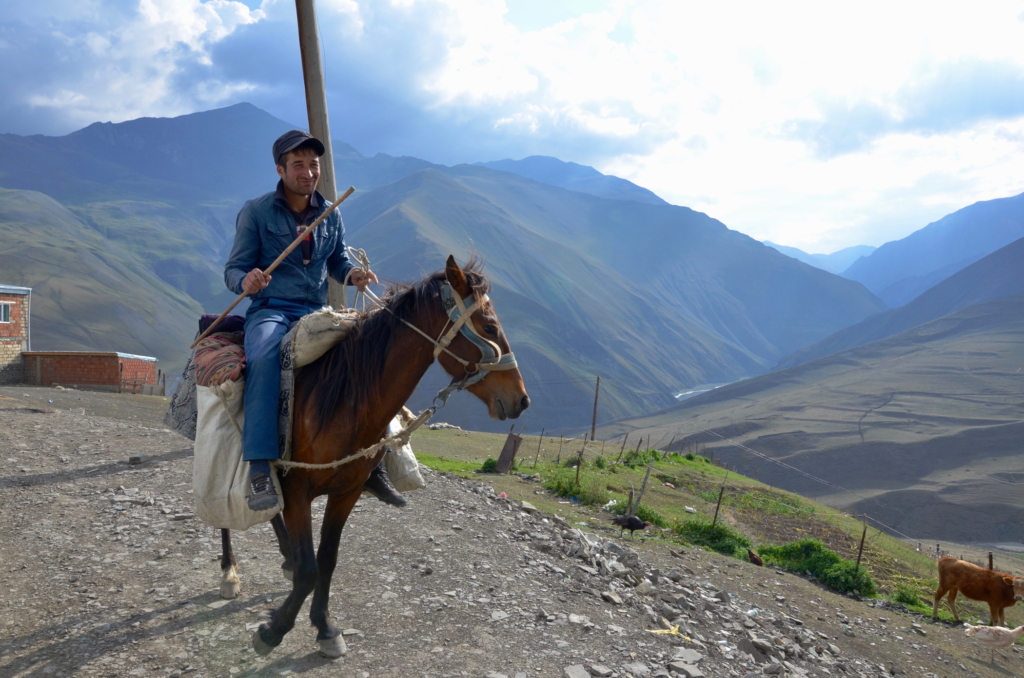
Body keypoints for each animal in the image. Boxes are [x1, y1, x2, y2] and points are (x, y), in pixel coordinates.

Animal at [216, 256, 528, 659]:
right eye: (489, 326)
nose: (522, 399)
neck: (344, 398)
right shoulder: (298, 489)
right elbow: (309, 569)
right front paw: (274, 629)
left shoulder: (346, 492)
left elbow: (326, 561)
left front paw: (325, 627)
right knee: (225, 514)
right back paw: (229, 572)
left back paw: (282, 558)